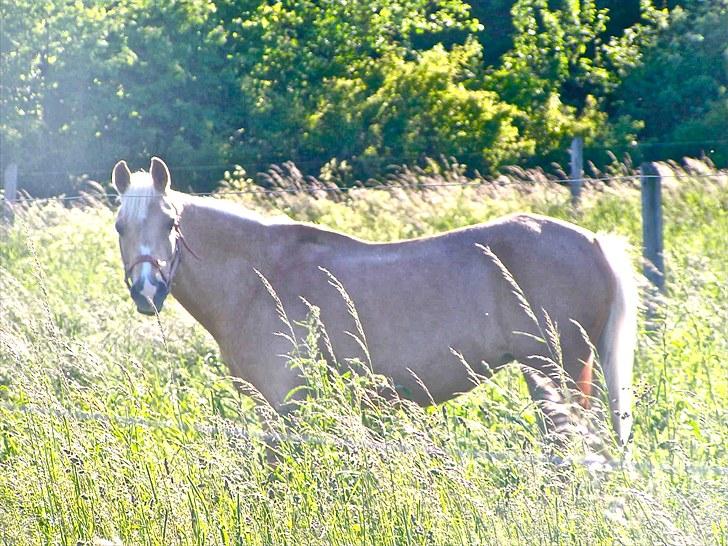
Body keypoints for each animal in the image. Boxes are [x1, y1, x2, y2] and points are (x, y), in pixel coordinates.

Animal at [111, 158, 636, 446]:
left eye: (170, 223)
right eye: (120, 226)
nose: (146, 290)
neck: (261, 277)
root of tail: (592, 241)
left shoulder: (284, 403)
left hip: (554, 375)